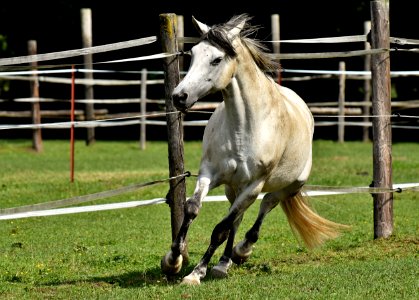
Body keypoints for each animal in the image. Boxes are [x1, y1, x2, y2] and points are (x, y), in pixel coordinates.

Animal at [161, 14, 348, 286]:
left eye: (217, 59)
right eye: (192, 54)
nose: (179, 96)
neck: (244, 127)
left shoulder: (253, 185)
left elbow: (219, 230)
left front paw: (196, 273)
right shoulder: (209, 173)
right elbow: (192, 208)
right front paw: (173, 260)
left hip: (287, 187)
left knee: (264, 207)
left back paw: (240, 252)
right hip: (233, 188)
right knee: (237, 218)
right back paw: (224, 263)